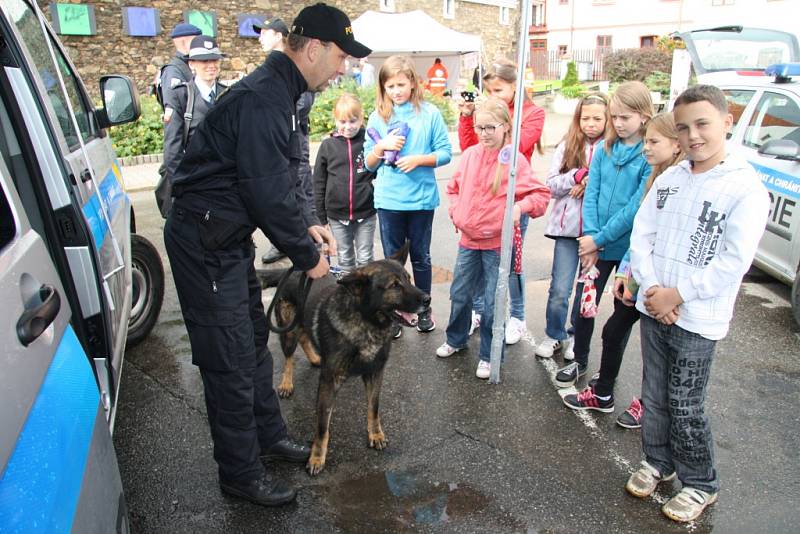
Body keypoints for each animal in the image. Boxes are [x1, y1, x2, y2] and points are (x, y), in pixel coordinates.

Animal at [262, 246, 428, 478]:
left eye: (409, 279)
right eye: (394, 285)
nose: (428, 299)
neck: (365, 321)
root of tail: (292, 269)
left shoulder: (375, 373)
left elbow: (374, 408)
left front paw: (375, 434)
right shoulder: (329, 382)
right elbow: (322, 426)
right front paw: (317, 457)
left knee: (305, 337)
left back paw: (315, 357)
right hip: (288, 330)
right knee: (289, 356)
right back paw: (287, 383)